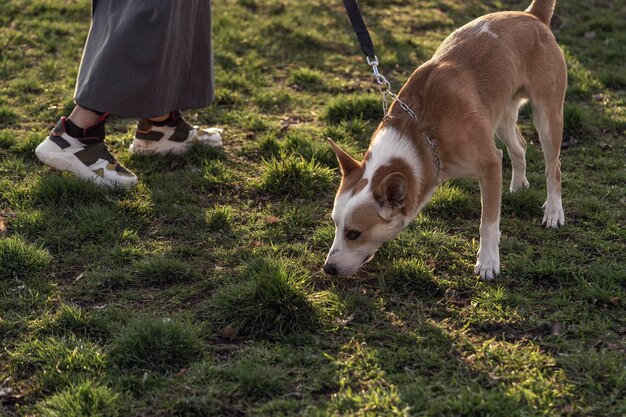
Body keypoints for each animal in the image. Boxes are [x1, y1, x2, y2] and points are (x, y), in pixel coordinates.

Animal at [324, 1, 564, 280]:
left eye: (354, 234)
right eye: (335, 224)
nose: (328, 268)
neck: (421, 131)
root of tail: (531, 15)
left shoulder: (490, 164)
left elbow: (488, 223)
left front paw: (488, 262)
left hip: (547, 116)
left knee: (553, 167)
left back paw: (554, 211)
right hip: (500, 115)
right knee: (520, 146)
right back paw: (517, 185)